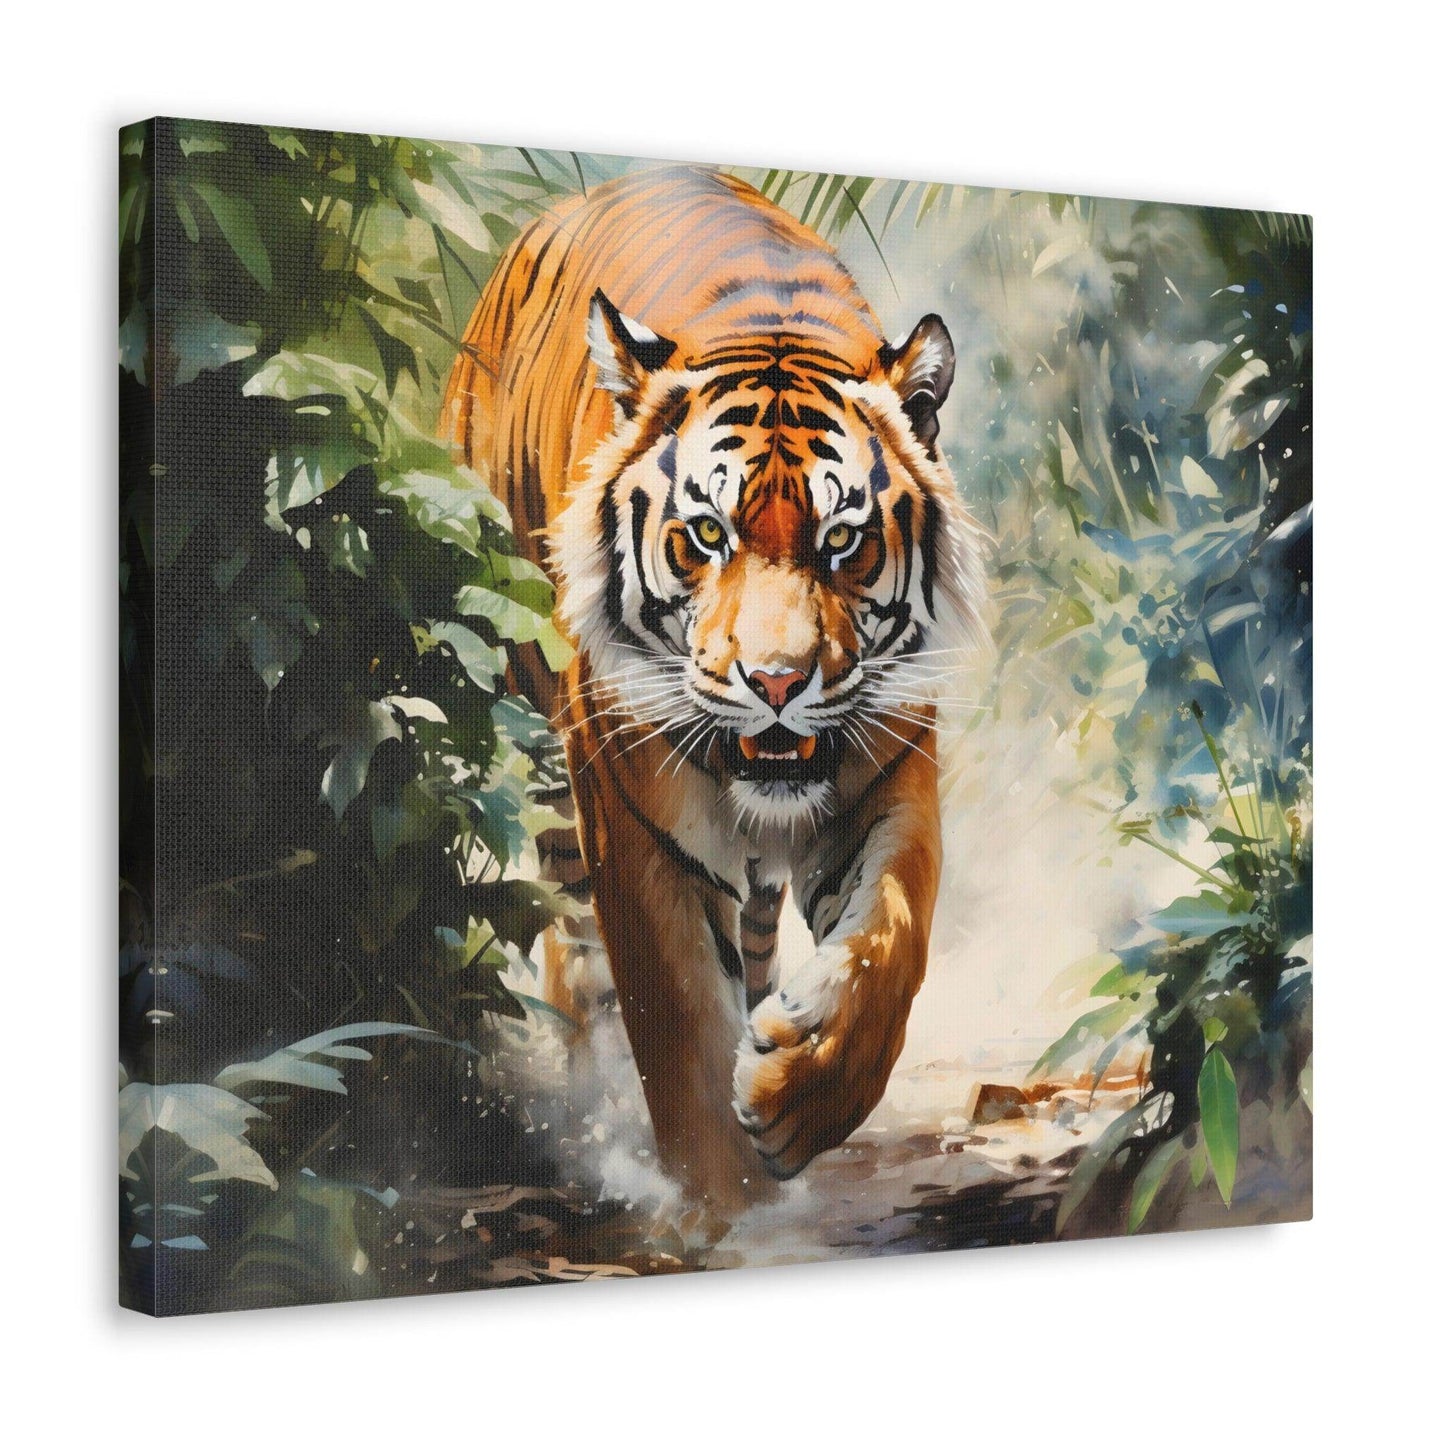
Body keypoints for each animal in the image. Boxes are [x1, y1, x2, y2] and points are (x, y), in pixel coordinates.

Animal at [443, 165, 984, 1213]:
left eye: (842, 540)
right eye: (706, 534)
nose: (775, 681)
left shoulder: (887, 771)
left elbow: (892, 939)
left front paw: (793, 1091)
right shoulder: (636, 821)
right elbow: (680, 1026)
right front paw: (724, 1206)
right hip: (541, 754)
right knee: (577, 963)